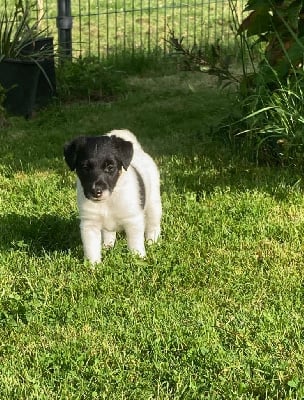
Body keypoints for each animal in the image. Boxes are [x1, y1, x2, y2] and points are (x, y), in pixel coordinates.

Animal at [64, 130, 163, 264]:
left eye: (110, 167)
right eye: (84, 168)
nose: (96, 191)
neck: (108, 200)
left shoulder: (133, 220)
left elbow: (135, 244)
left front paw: (137, 259)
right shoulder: (90, 224)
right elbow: (91, 248)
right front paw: (93, 265)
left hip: (153, 204)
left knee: (153, 224)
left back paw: (152, 240)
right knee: (108, 234)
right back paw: (107, 246)